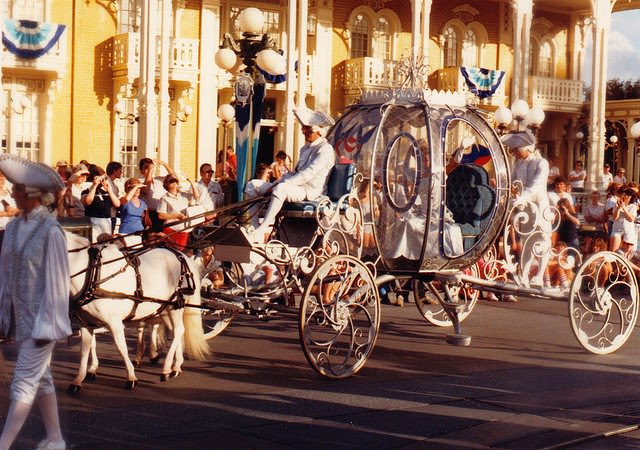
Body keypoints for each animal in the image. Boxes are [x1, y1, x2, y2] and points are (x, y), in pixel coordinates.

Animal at [66, 234, 210, 392]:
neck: (93, 273)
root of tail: (182, 255)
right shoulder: (86, 324)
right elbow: (85, 350)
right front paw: (78, 380)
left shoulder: (115, 323)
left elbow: (121, 348)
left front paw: (131, 377)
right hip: (165, 309)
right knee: (174, 332)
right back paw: (176, 366)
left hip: (175, 306)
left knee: (178, 331)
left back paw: (166, 369)